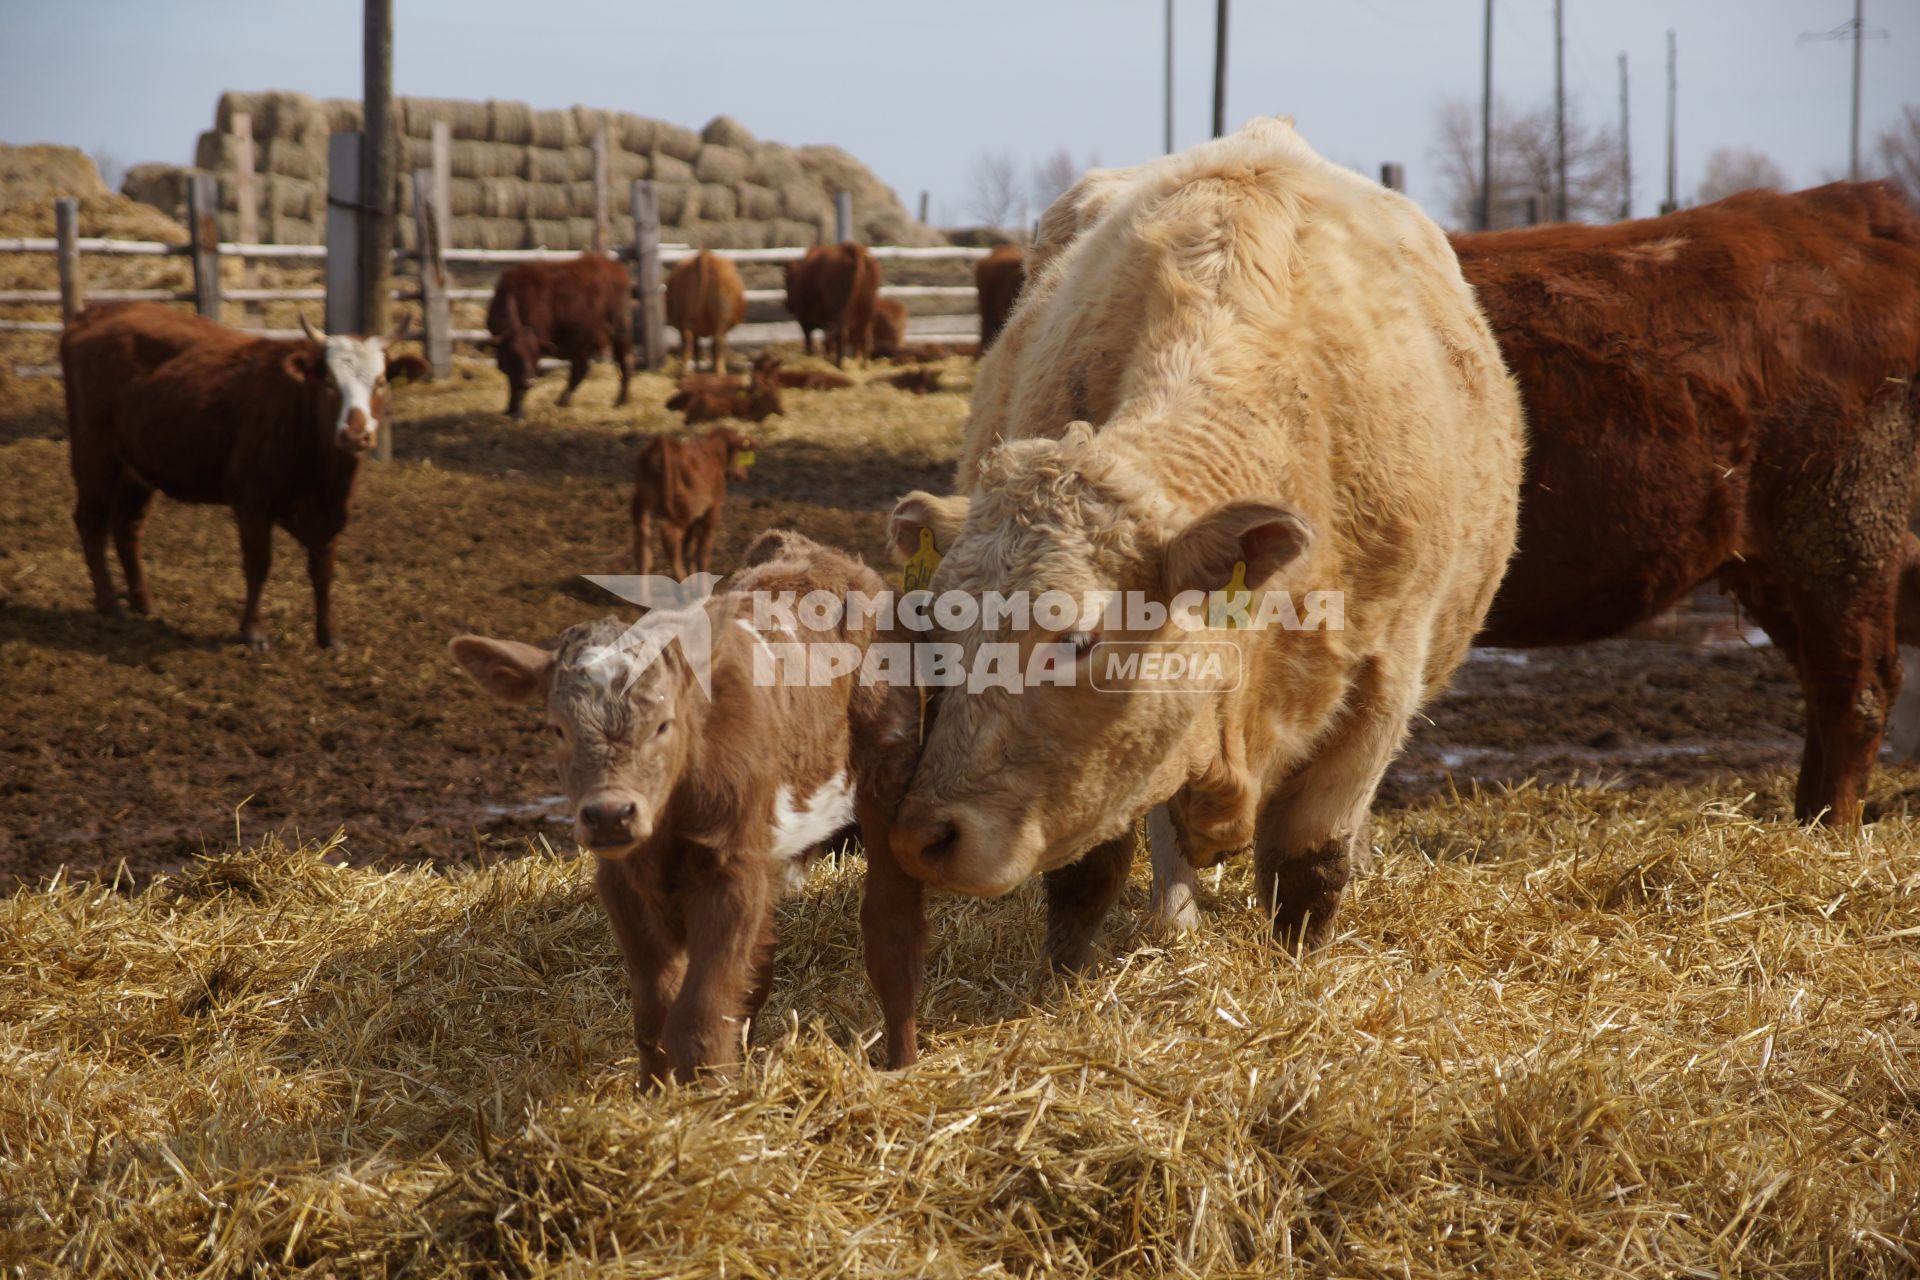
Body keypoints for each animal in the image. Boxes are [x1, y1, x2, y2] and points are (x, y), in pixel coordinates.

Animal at [62, 303, 412, 652]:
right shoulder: (252, 502)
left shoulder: (331, 514)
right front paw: (254, 632)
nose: (355, 435)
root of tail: (96, 312)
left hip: (135, 471)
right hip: (94, 453)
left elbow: (323, 571)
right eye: (329, 382)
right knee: (91, 522)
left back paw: (145, 604)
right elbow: (258, 564)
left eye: (381, 381)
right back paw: (110, 604)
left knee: (127, 529)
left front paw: (329, 635)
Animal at [453, 529, 925, 1082]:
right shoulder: (623, 883)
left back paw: (902, 1064)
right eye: (558, 728)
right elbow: (657, 1014)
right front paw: (659, 1092)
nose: (609, 814)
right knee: (759, 967)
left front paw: (707, 1094)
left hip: (888, 774)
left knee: (891, 934)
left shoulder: (731, 873)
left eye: (663, 725)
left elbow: (699, 1017)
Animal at [483, 253, 633, 420]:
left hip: (619, 331)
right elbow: (512, 380)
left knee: (625, 362)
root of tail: (613, 266)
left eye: (535, 354)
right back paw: (563, 400)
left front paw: (518, 411)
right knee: (581, 369)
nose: (529, 381)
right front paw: (509, 408)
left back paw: (621, 400)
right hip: (582, 341)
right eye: (514, 354)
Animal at [629, 426, 748, 575]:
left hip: (643, 504)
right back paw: (681, 578)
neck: (714, 452)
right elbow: (703, 553)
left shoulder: (694, 519)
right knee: (670, 537)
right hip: (685, 509)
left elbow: (688, 551)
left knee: (643, 547)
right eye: (739, 453)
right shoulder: (712, 509)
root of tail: (663, 443)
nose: (743, 474)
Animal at [1451, 180, 1920, 825]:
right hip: (1777, 563)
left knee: (1856, 688)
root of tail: (1847, 209)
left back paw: (1831, 829)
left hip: (1842, 529)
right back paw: (1806, 823)